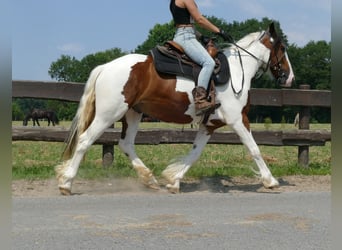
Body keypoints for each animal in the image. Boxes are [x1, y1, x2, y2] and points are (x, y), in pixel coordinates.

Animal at [55, 23, 294, 195]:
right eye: (282, 48)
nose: (290, 77)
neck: (237, 71)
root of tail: (105, 67)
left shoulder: (209, 125)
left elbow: (195, 153)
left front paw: (173, 181)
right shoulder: (238, 119)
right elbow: (254, 149)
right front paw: (270, 181)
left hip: (133, 114)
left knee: (126, 143)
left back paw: (150, 179)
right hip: (109, 114)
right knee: (85, 140)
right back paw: (66, 183)